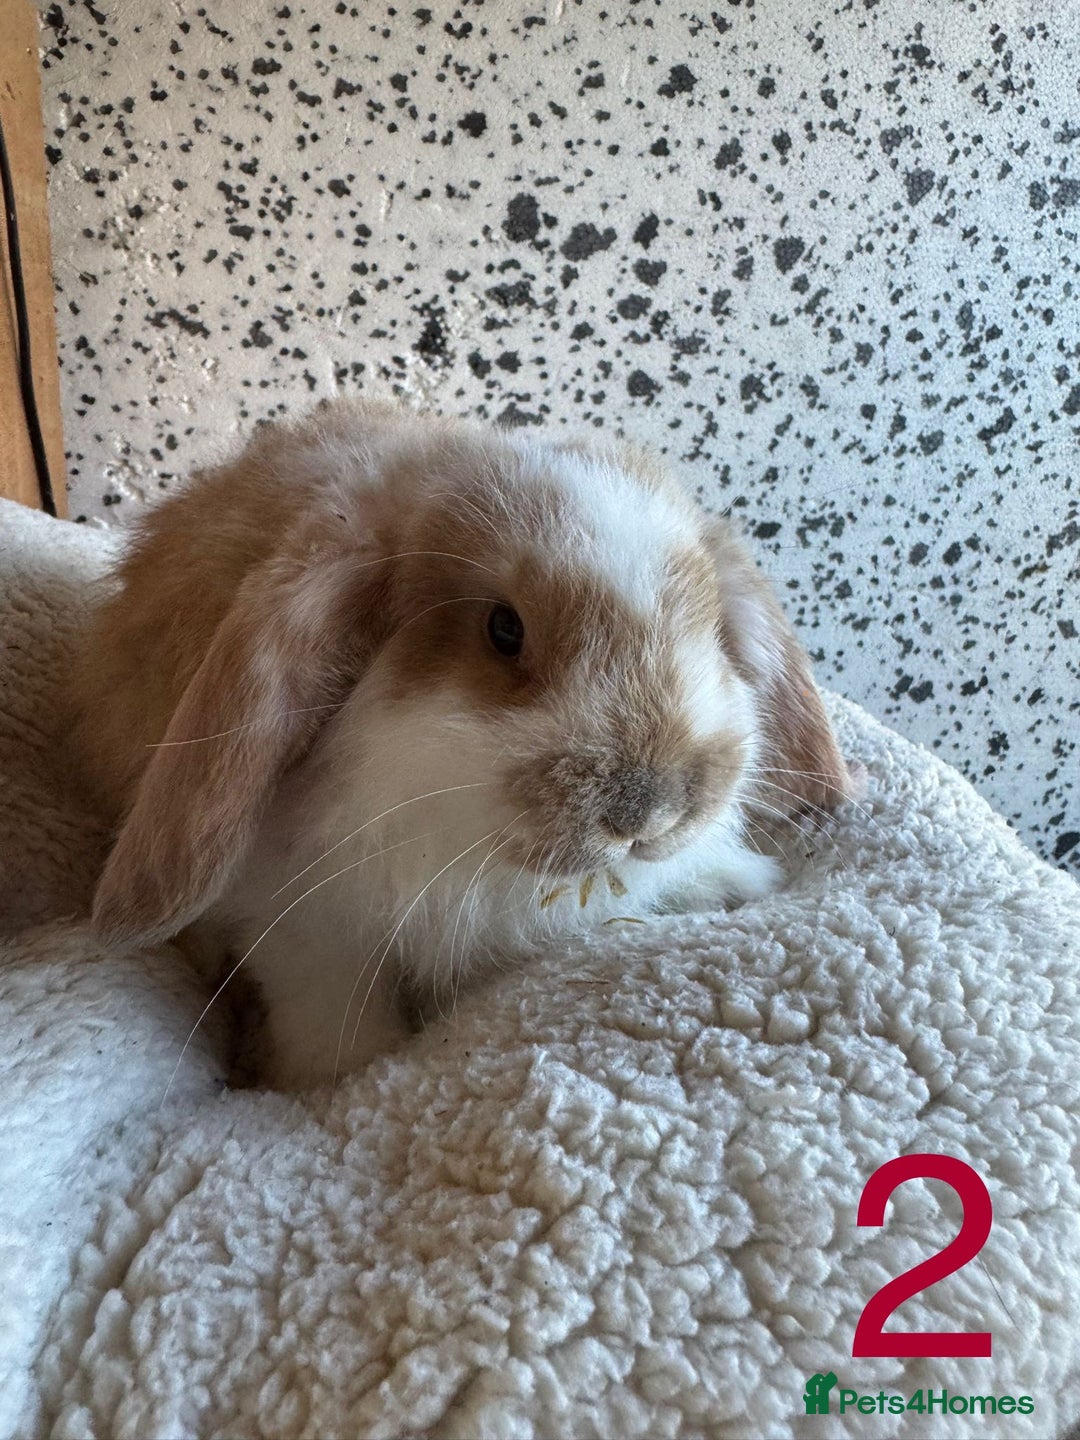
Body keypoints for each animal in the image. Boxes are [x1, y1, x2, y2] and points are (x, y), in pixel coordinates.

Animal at [72, 398, 854, 1089]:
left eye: (710, 628)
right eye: (503, 630)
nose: (650, 812)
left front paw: (745, 881)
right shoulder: (303, 931)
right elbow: (331, 1013)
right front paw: (335, 1083)